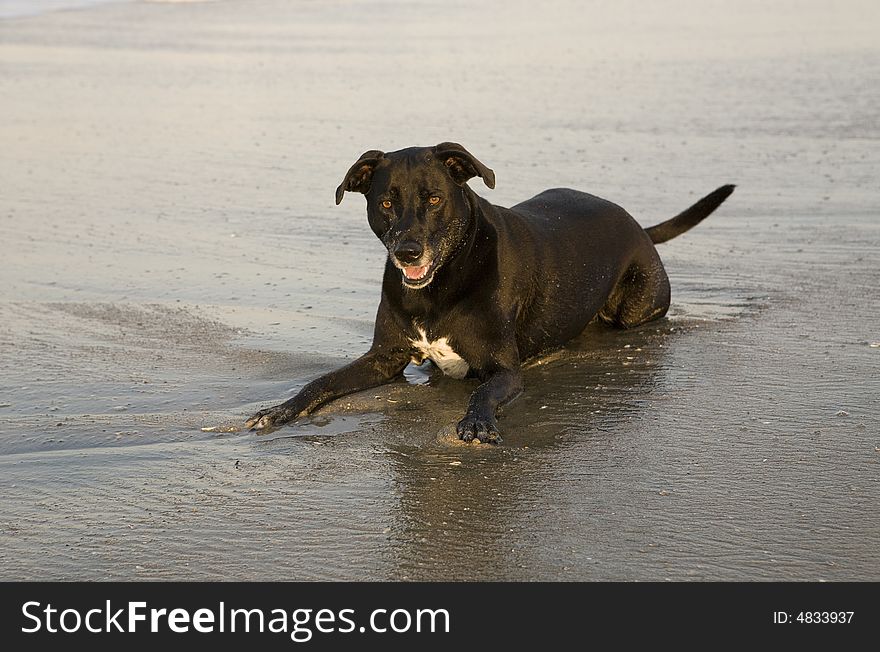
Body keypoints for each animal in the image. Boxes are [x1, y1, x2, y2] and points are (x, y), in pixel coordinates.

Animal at [244, 143, 732, 444]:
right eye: (385, 203)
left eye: (434, 199)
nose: (407, 252)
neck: (437, 286)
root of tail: (639, 226)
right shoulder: (383, 357)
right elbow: (321, 381)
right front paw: (280, 410)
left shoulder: (505, 370)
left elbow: (482, 393)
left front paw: (477, 424)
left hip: (636, 307)